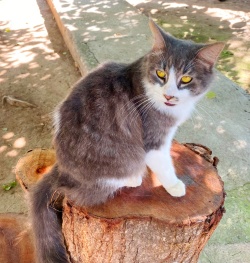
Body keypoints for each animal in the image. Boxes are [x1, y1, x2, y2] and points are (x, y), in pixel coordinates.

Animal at [29, 19, 225, 262]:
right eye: (161, 73)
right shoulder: (154, 137)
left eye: (186, 79)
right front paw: (174, 185)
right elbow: (164, 165)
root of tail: (62, 171)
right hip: (119, 163)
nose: (169, 95)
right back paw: (133, 178)